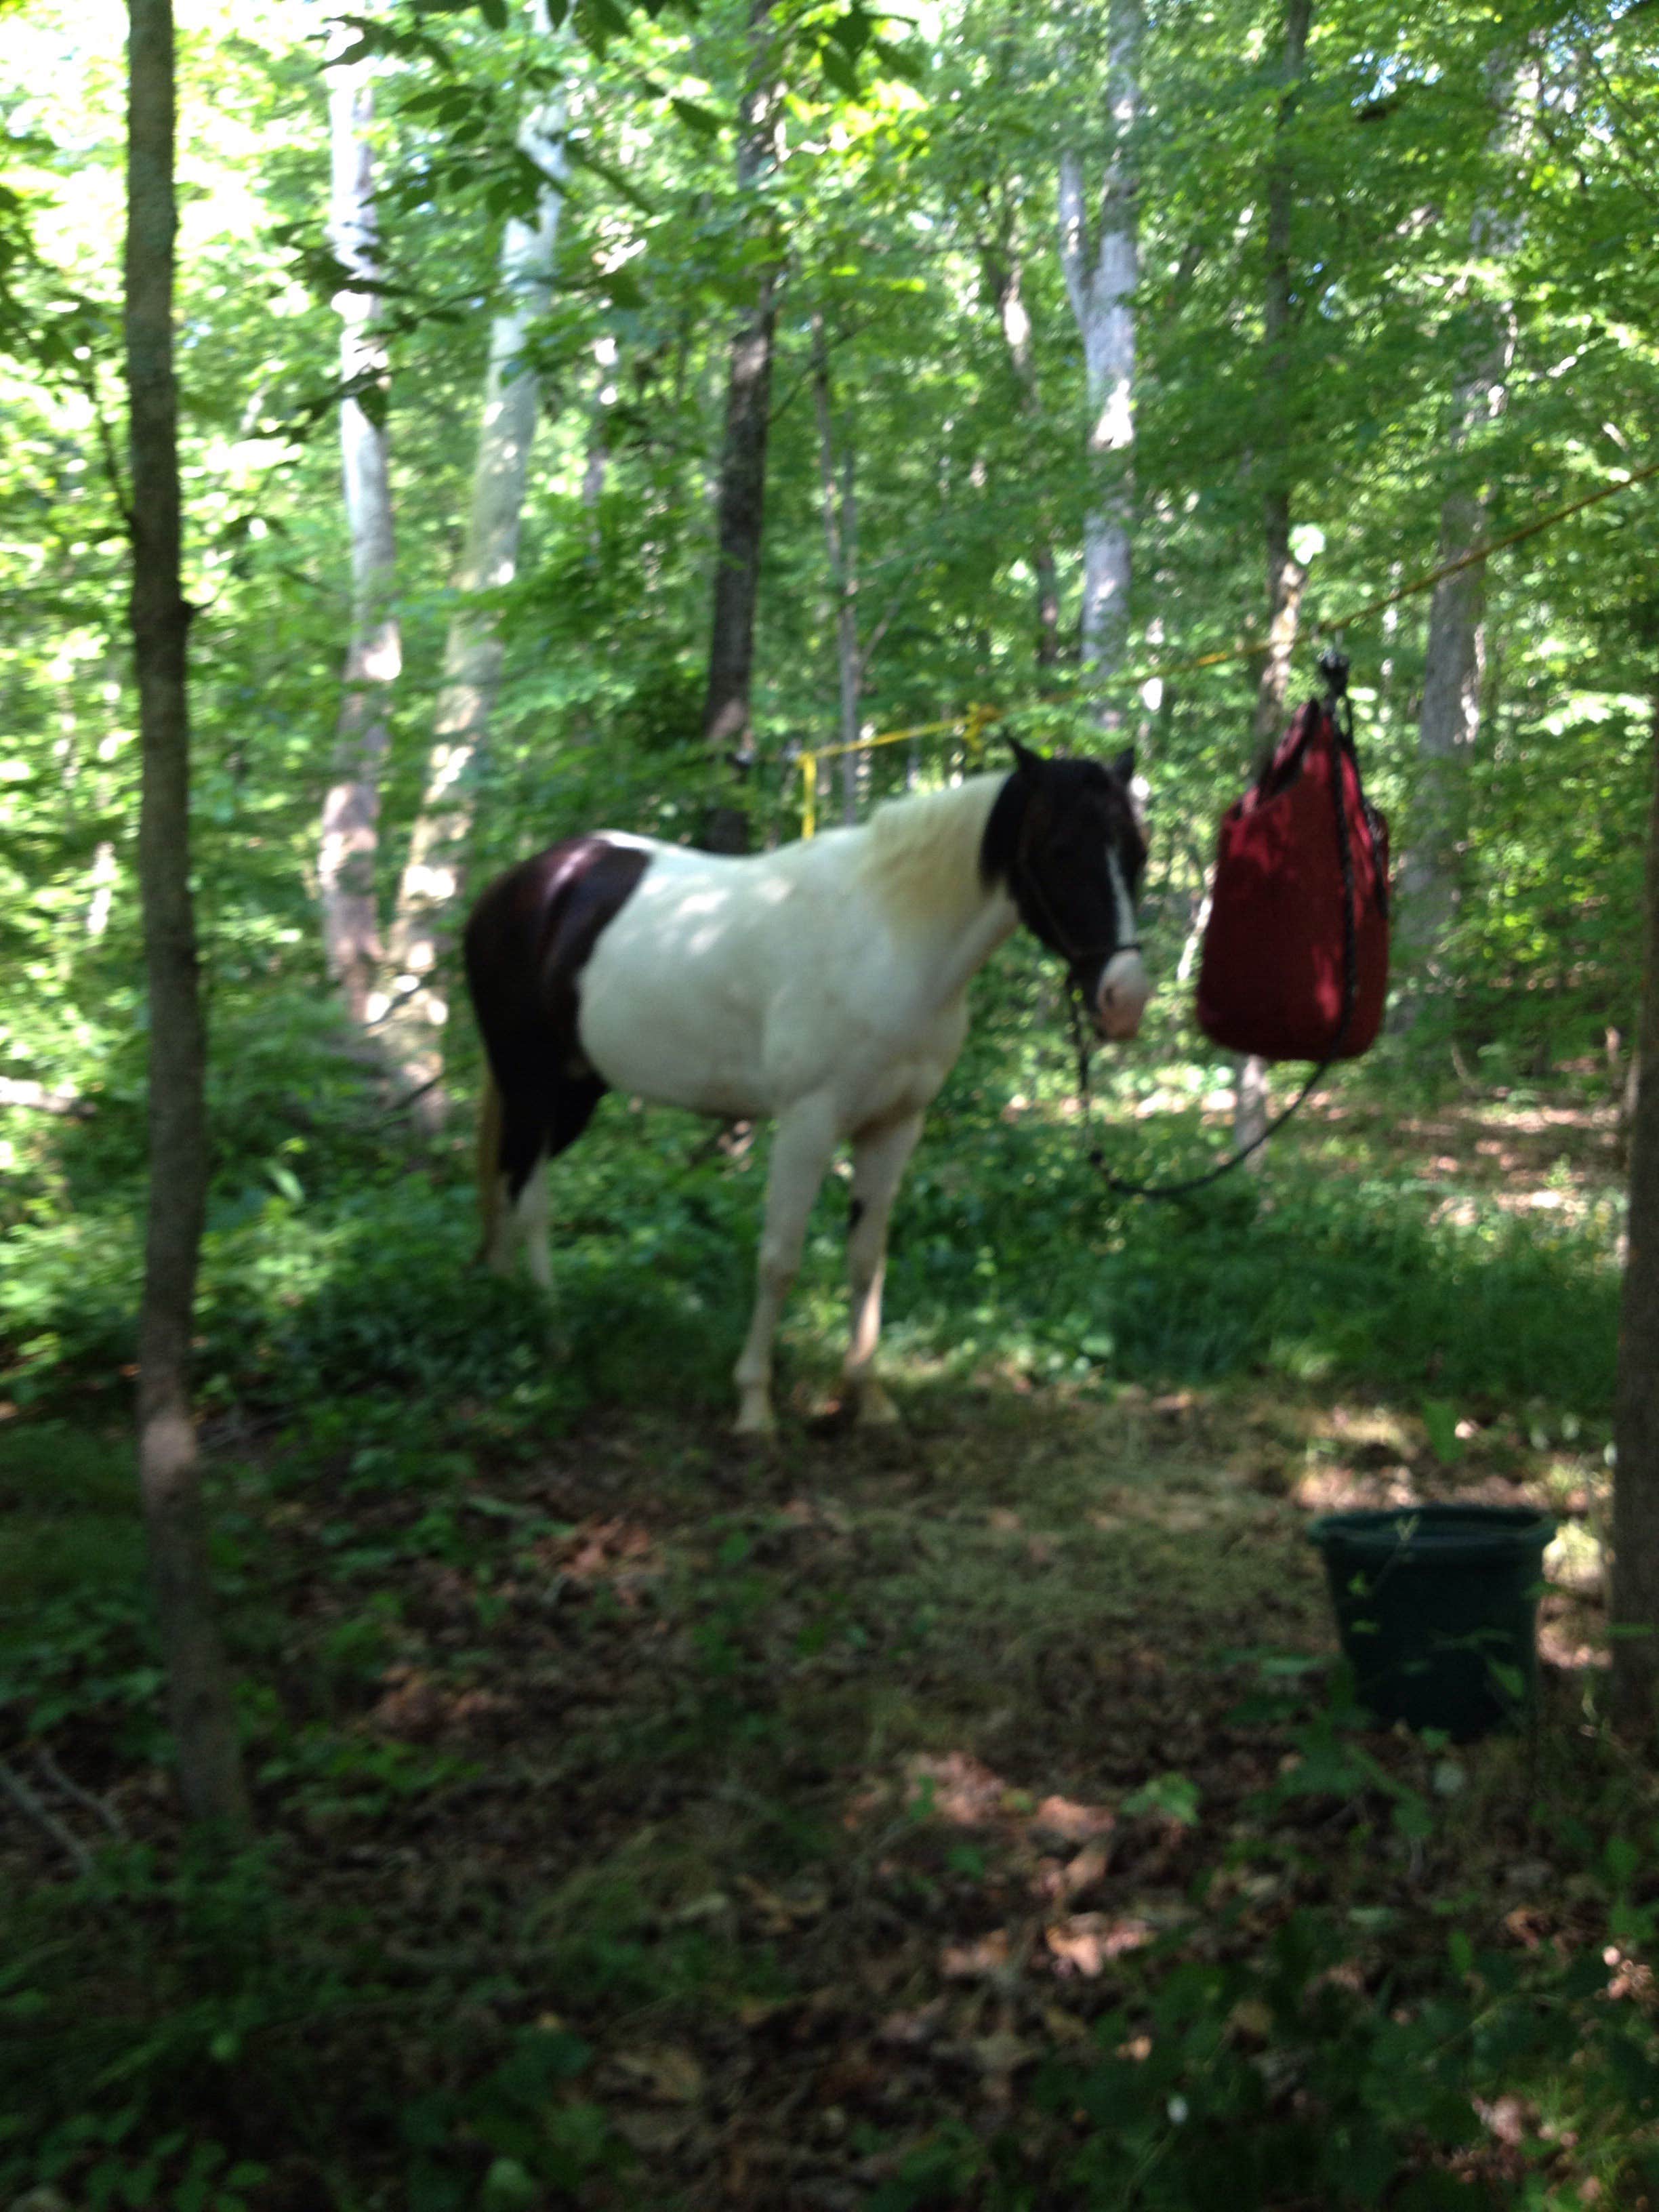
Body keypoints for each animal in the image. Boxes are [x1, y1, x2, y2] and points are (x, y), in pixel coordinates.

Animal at [463, 739, 1150, 1434]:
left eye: (1138, 853)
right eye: (1061, 850)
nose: (1124, 1000)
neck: (893, 935)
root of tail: (524, 883)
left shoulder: (895, 1126)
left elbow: (866, 1261)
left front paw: (870, 1397)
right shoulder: (807, 1122)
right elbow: (779, 1260)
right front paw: (754, 1405)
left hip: (575, 1088)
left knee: (508, 1182)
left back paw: (504, 1304)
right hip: (531, 1081)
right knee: (528, 1198)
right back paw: (551, 1335)